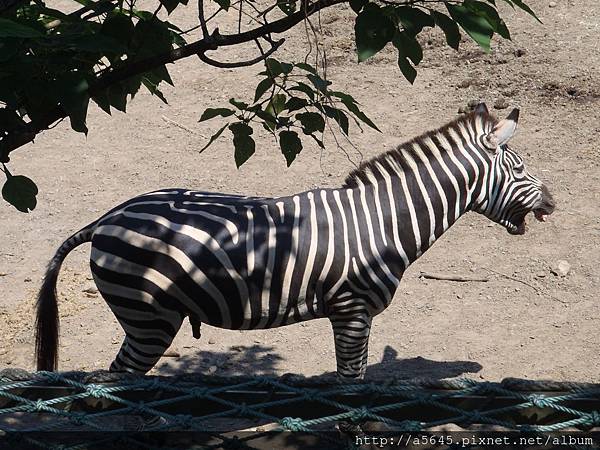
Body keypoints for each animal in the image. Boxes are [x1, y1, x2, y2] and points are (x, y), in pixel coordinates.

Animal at [35, 103, 556, 380]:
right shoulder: (352, 310)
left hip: (147, 318)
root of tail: (107, 218)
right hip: (149, 317)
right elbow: (352, 382)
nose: (553, 201)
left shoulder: (353, 314)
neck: (383, 221)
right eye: (519, 169)